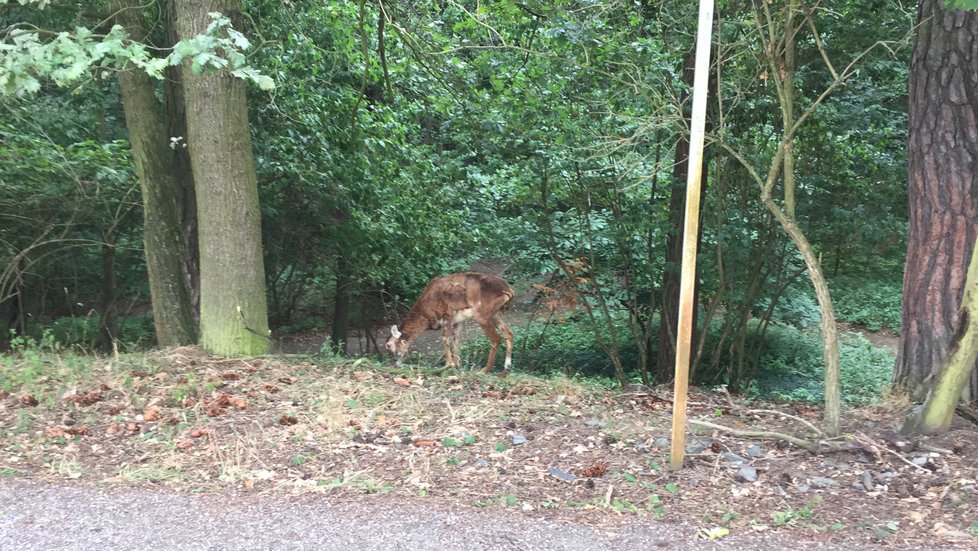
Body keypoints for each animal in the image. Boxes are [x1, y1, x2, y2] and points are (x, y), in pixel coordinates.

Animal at [386, 272, 516, 376]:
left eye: (388, 345)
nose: (395, 363)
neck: (425, 314)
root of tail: (509, 291)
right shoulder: (458, 321)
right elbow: (456, 339)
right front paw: (457, 365)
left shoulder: (447, 314)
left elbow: (446, 339)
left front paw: (448, 365)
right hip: (494, 313)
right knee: (509, 333)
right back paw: (506, 367)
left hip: (481, 314)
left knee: (496, 338)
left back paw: (484, 370)